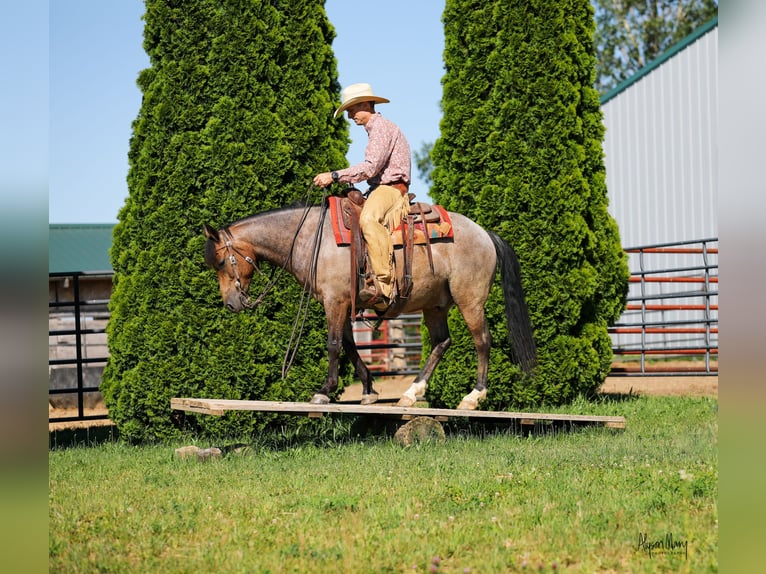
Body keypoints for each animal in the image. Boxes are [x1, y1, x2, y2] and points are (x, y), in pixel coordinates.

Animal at [203, 199, 536, 410]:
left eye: (220, 261)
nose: (231, 304)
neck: (311, 238)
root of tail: (485, 234)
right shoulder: (343, 302)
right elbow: (351, 346)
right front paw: (368, 389)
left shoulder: (334, 300)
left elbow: (334, 344)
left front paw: (324, 391)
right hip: (435, 306)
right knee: (442, 342)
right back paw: (411, 393)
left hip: (470, 299)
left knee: (482, 341)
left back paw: (472, 397)